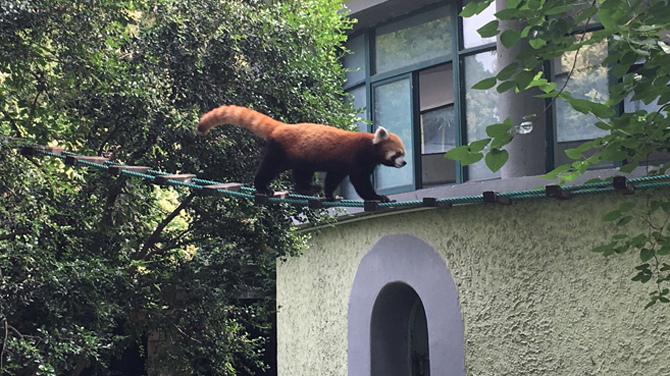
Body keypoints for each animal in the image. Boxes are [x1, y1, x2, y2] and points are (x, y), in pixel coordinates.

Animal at [197, 105, 406, 203]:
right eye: (398, 154)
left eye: (404, 154)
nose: (404, 164)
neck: (370, 147)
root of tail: (282, 126)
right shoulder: (357, 158)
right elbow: (360, 182)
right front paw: (378, 197)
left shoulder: (340, 164)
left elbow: (333, 178)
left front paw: (329, 195)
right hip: (280, 152)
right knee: (269, 169)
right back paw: (263, 187)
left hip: (303, 157)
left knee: (301, 174)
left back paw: (308, 189)